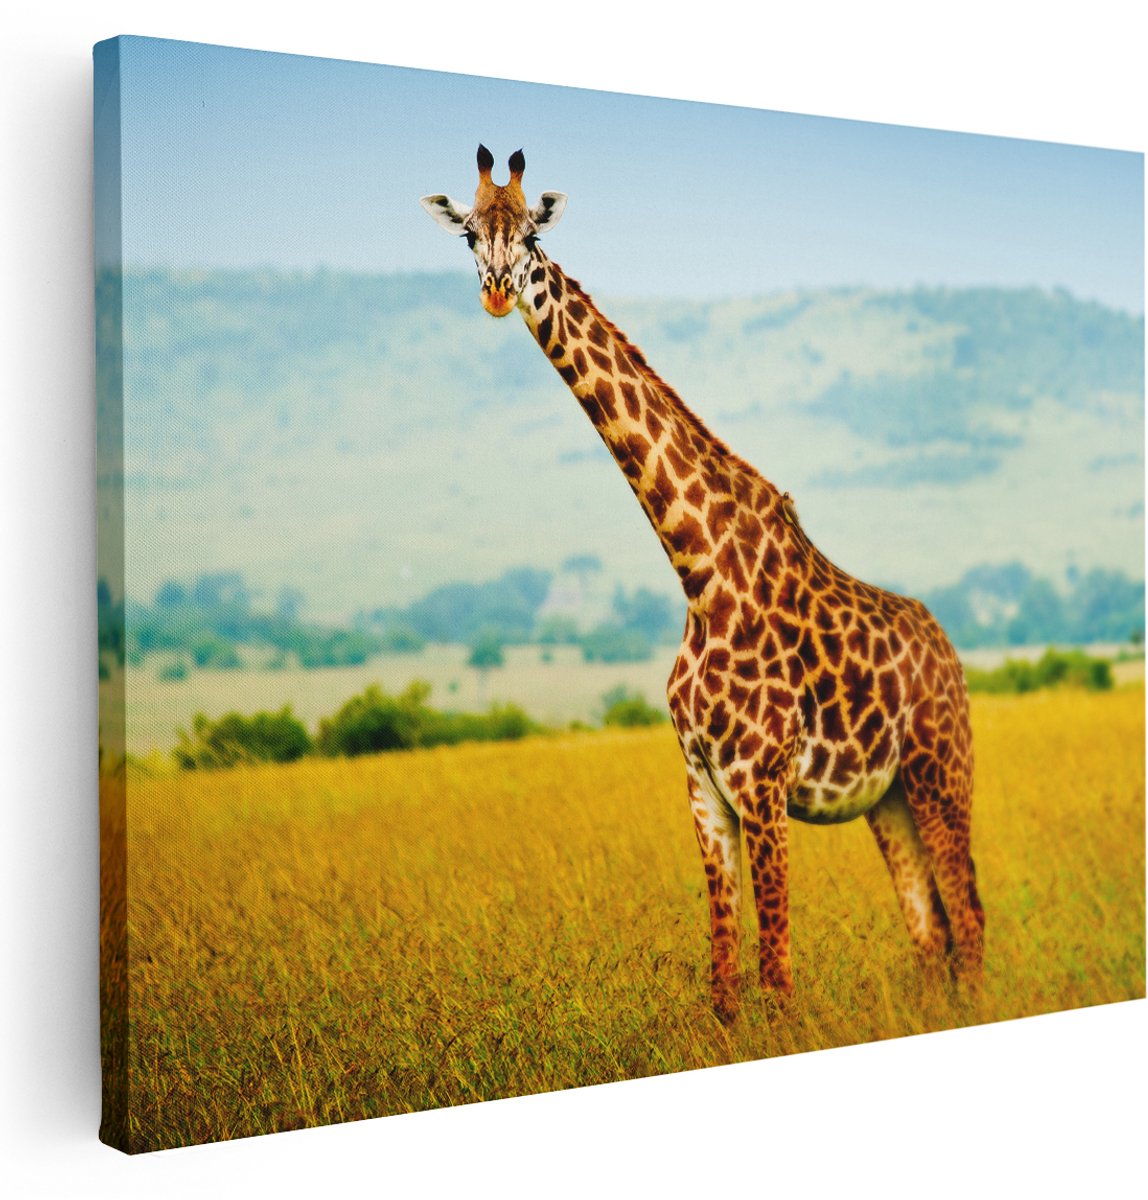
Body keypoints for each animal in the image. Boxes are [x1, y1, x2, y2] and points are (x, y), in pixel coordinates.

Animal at [421, 146, 984, 1021]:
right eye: (470, 235)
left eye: (533, 236)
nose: (497, 292)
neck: (697, 568)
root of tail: (950, 653)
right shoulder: (702, 787)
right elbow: (723, 984)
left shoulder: (762, 784)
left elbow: (775, 977)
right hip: (890, 797)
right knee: (932, 935)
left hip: (940, 774)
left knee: (971, 924)